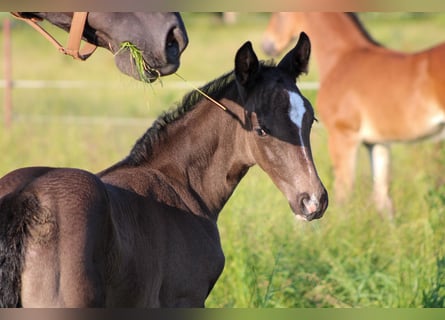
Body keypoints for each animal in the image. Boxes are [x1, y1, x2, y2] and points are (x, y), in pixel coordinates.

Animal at [0, 33, 326, 308]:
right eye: (261, 129)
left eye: (310, 119)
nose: (313, 201)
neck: (180, 182)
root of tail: (24, 200)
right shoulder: (186, 299)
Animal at [262, 13, 444, 218]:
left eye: (280, 15)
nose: (267, 44)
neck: (341, 59)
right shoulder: (377, 143)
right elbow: (383, 199)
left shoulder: (343, 136)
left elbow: (344, 192)